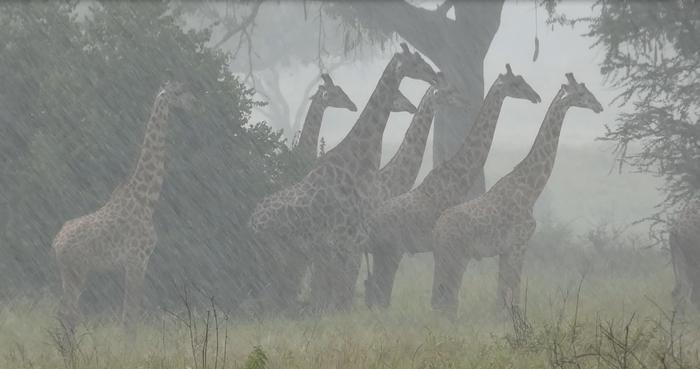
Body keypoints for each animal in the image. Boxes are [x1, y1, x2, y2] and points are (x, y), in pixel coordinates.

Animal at [51, 80, 194, 322]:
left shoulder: (131, 264)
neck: (146, 199)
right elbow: (130, 317)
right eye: (178, 92)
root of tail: (56, 243)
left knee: (65, 312)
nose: (192, 103)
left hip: (68, 272)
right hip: (78, 269)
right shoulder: (137, 260)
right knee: (68, 312)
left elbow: (129, 314)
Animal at [245, 43, 432, 314]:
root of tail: (250, 223)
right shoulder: (345, 238)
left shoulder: (346, 241)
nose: (435, 74)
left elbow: (338, 290)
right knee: (272, 297)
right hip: (278, 254)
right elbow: (339, 291)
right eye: (416, 62)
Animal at [364, 64, 540, 308]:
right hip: (389, 250)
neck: (457, 177)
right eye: (516, 84)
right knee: (378, 288)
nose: (536, 96)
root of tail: (371, 222)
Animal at [432, 72, 600, 316]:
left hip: (443, 257)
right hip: (456, 256)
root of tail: (437, 230)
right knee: (448, 298)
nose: (599, 106)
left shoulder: (506, 250)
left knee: (439, 297)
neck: (530, 190)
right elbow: (515, 289)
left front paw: (501, 318)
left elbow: (502, 293)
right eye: (581, 93)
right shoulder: (519, 244)